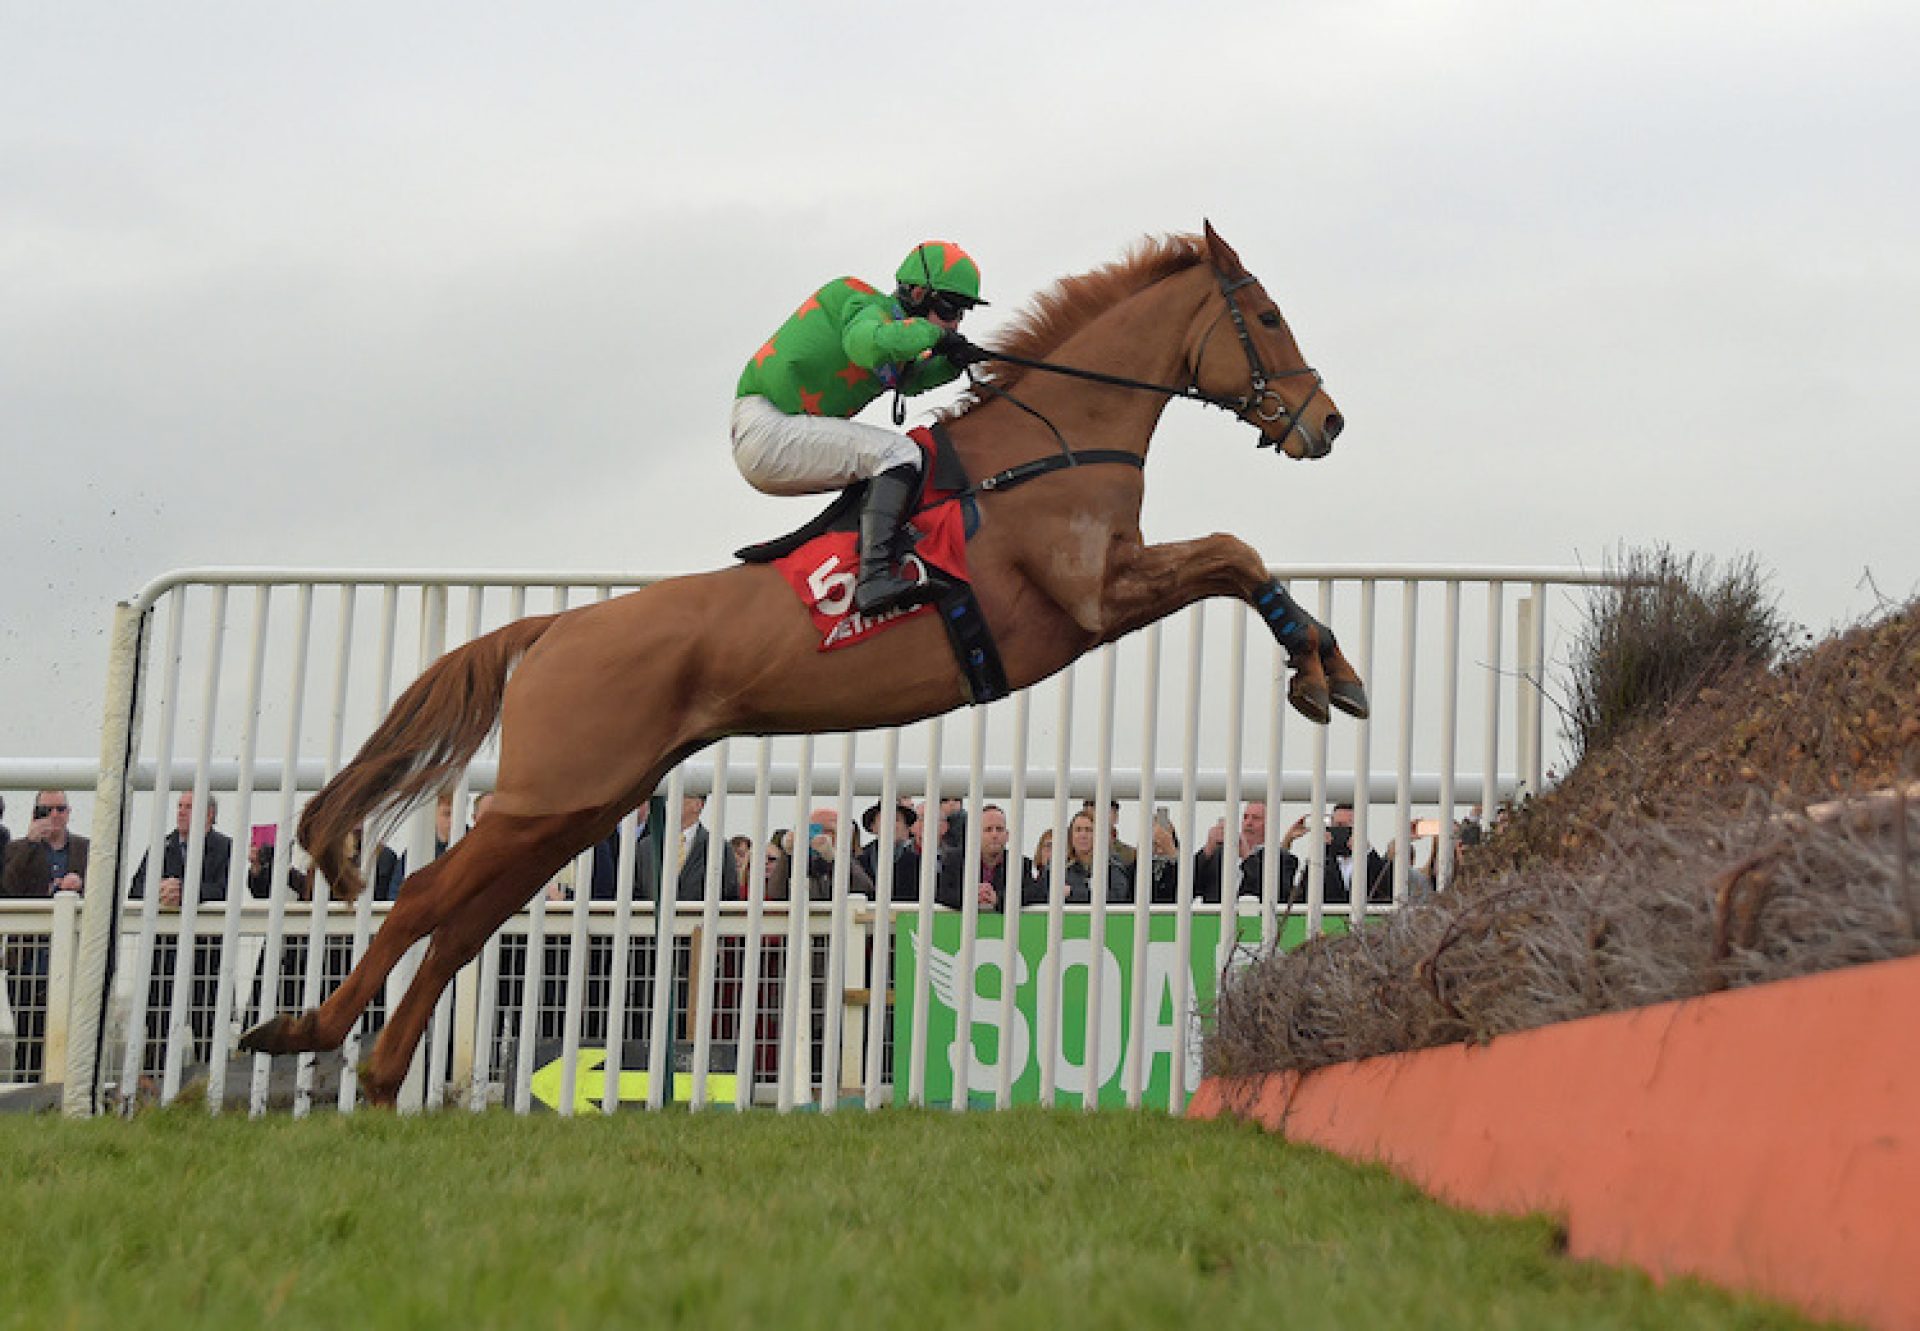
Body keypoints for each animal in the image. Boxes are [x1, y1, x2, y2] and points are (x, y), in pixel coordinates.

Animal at [240, 222, 1367, 1106]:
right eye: (1267, 316)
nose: (1327, 421)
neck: (1057, 439)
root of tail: (553, 632)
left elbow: (1235, 557)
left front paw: (1330, 666)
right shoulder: (1096, 593)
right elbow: (1232, 553)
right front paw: (1321, 668)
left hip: (585, 801)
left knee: (466, 922)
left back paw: (379, 1071)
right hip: (550, 793)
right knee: (428, 899)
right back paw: (310, 1034)